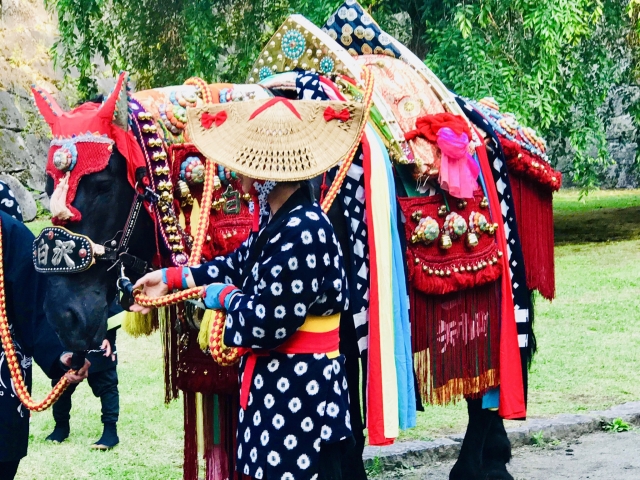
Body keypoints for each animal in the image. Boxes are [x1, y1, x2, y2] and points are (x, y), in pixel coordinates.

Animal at [18, 0, 560, 480]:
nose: (64, 318)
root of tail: (477, 116)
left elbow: (344, 431)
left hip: (501, 284)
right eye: (46, 185)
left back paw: (482, 464)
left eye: (104, 185)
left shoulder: (343, 328)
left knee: (502, 366)